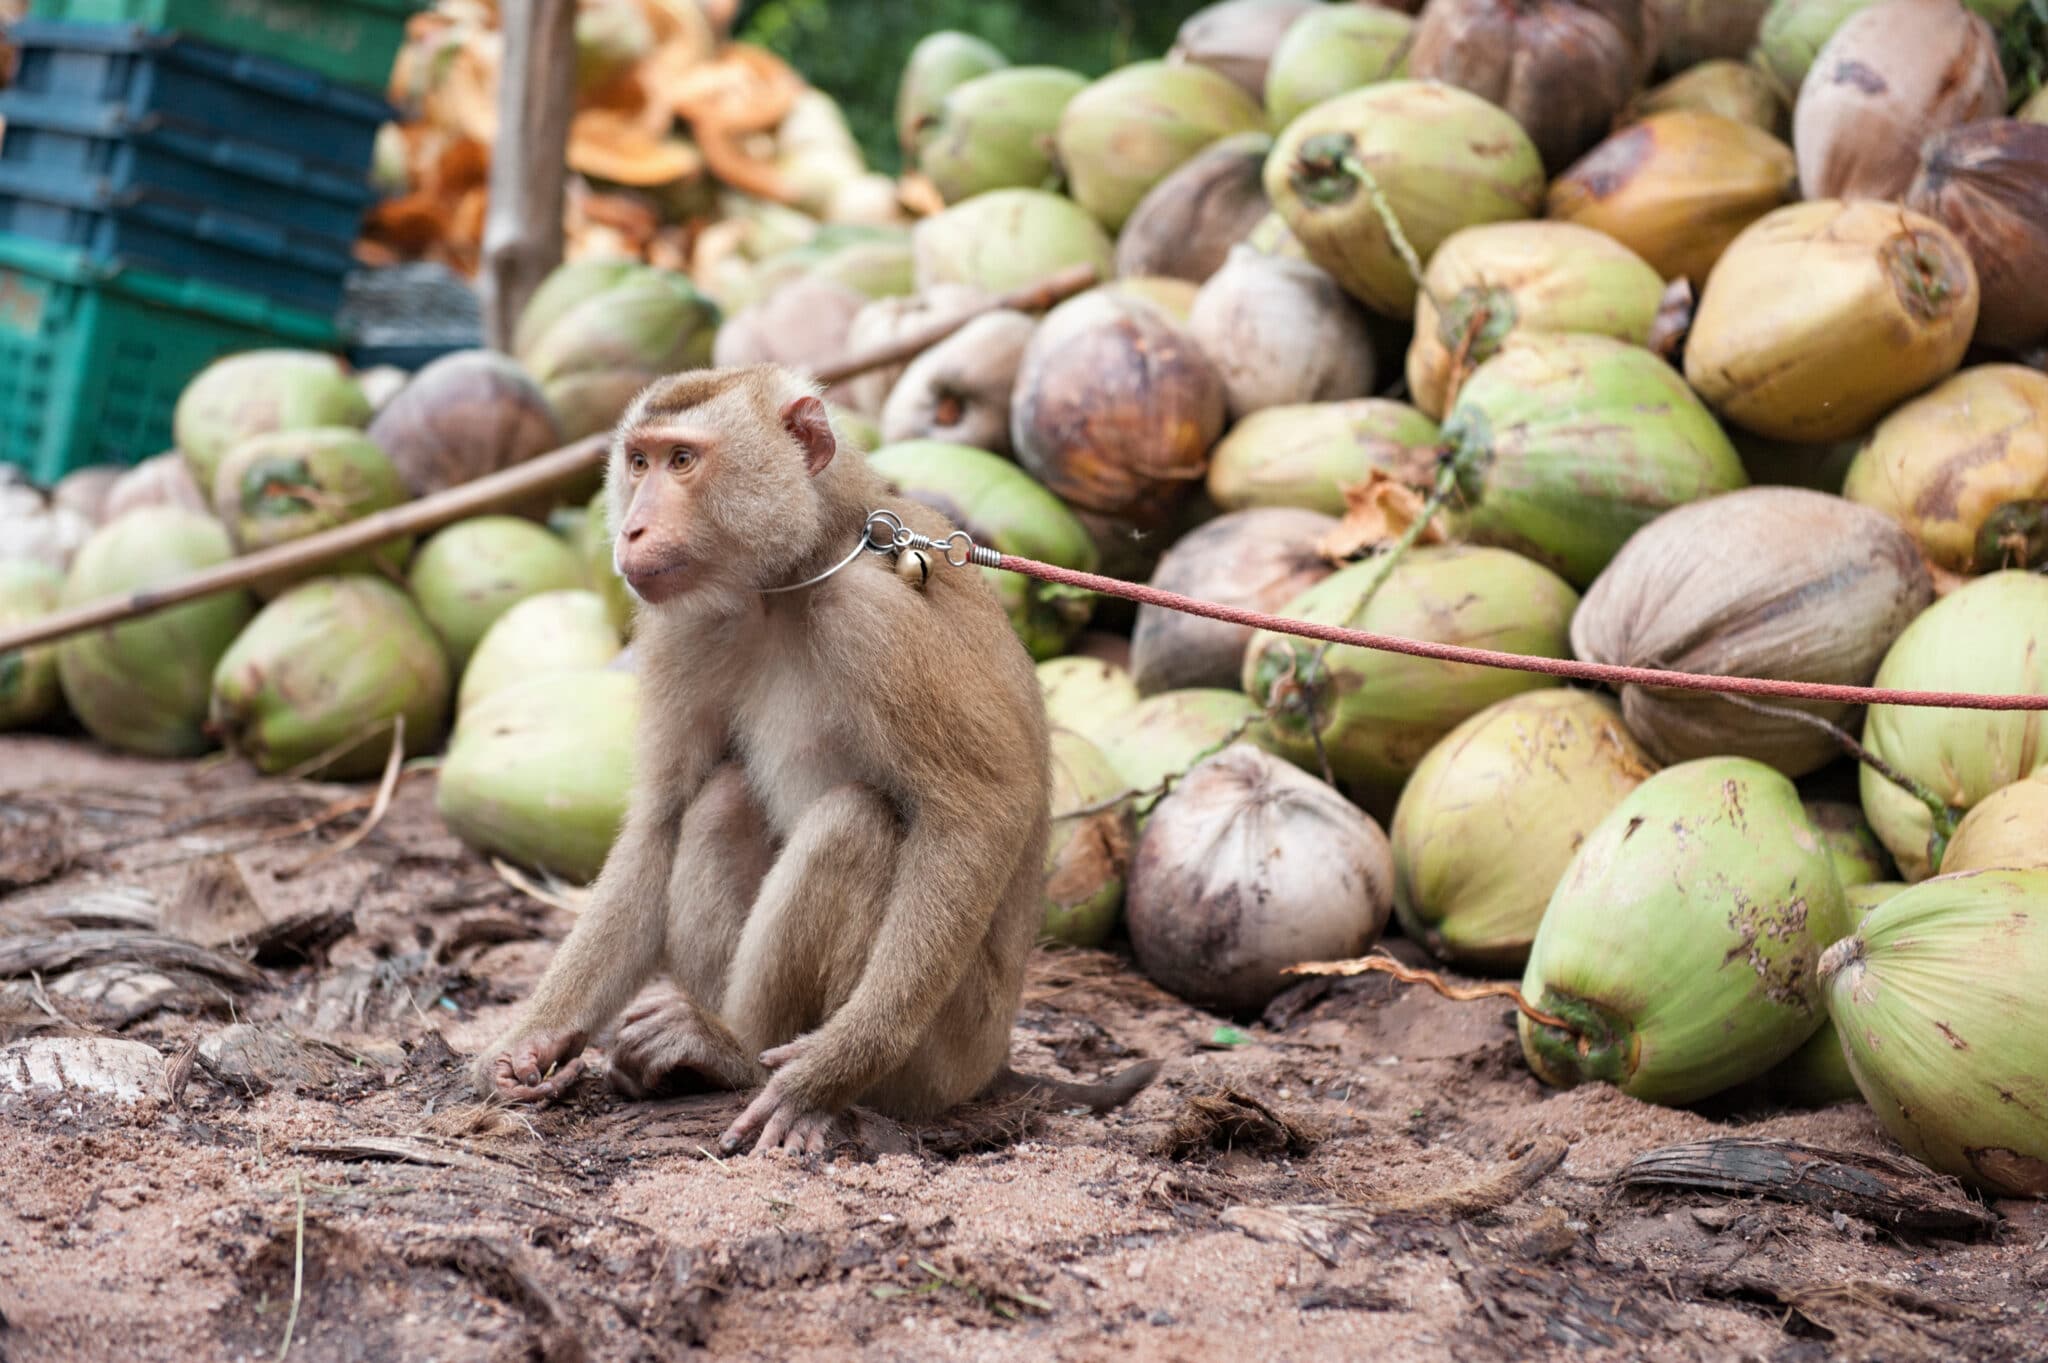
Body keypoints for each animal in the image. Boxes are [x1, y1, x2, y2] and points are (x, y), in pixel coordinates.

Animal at [468, 360, 1163, 1146]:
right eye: (638, 462)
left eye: (683, 460)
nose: (632, 528)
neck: (792, 573)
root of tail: (992, 1064)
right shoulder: (684, 630)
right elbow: (661, 820)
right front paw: (529, 1041)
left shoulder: (873, 617)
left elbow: (981, 813)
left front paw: (831, 1068)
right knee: (722, 799)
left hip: (943, 1052)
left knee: (851, 823)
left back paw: (734, 1051)